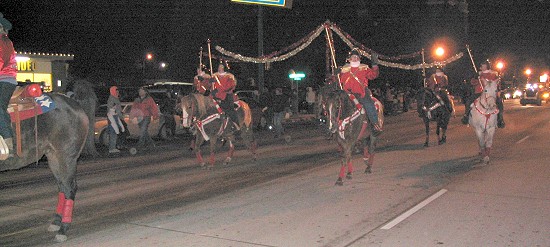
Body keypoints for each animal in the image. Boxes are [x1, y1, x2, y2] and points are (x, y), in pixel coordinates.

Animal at [0, 80, 92, 241]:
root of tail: (74, 104)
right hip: (53, 158)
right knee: (61, 187)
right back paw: (56, 222)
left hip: (66, 157)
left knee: (69, 188)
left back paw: (63, 229)